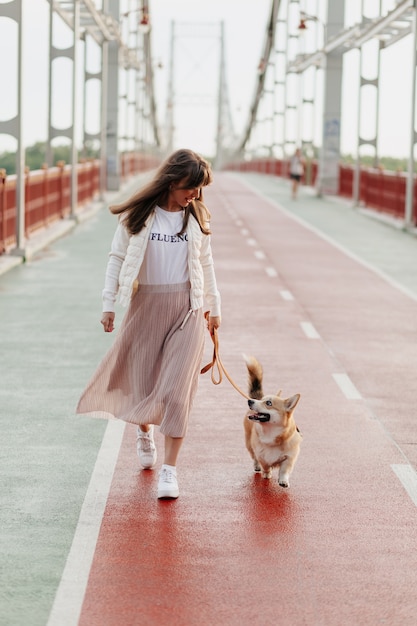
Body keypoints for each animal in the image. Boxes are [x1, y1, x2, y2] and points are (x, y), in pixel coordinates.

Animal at [244, 354, 300, 486]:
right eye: (262, 400)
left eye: (268, 403)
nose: (250, 401)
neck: (270, 434)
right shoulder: (262, 456)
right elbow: (265, 465)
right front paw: (266, 474)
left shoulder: (289, 457)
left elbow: (284, 470)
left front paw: (283, 481)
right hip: (249, 444)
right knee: (254, 457)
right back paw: (257, 466)